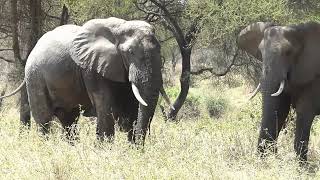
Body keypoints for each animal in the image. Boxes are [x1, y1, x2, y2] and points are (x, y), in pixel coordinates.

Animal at [1, 17, 172, 145]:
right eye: (130, 52)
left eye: (159, 50)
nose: (139, 147)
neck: (120, 27)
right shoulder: (91, 68)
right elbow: (105, 106)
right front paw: (106, 151)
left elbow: (133, 105)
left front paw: (132, 150)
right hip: (35, 77)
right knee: (44, 119)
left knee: (69, 120)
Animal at [236, 21, 320, 162]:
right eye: (260, 52)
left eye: (288, 52)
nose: (274, 154)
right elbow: (279, 109)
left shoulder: (314, 78)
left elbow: (304, 111)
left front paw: (302, 166)